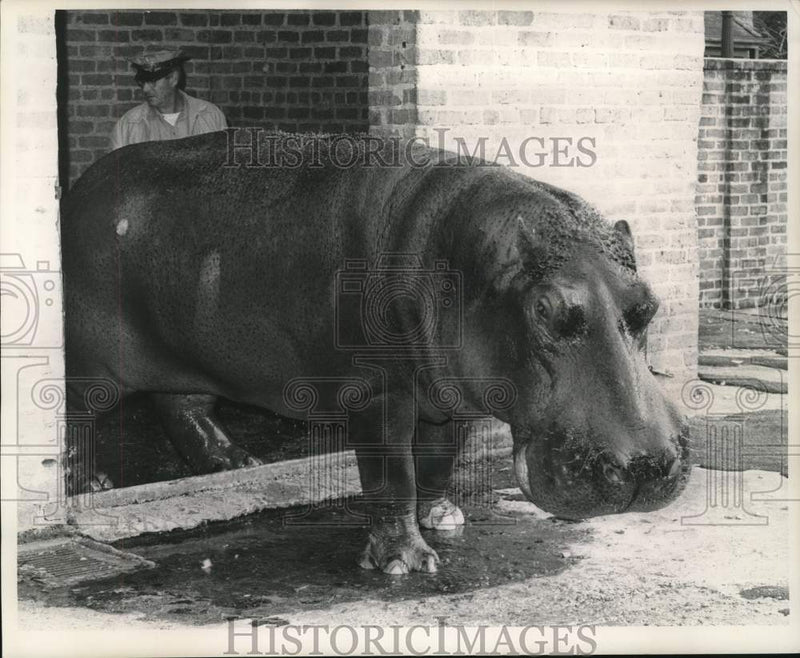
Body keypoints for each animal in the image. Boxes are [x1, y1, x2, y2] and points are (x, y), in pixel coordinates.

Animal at [61, 130, 691, 574]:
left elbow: (437, 459)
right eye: (546, 310)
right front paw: (402, 563)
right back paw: (89, 486)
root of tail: (78, 188)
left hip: (194, 355)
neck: (461, 261)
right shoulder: (378, 392)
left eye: (649, 304)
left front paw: (444, 518)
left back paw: (238, 463)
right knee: (79, 416)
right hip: (93, 366)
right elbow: (394, 474)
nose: (645, 467)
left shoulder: (450, 394)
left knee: (182, 405)